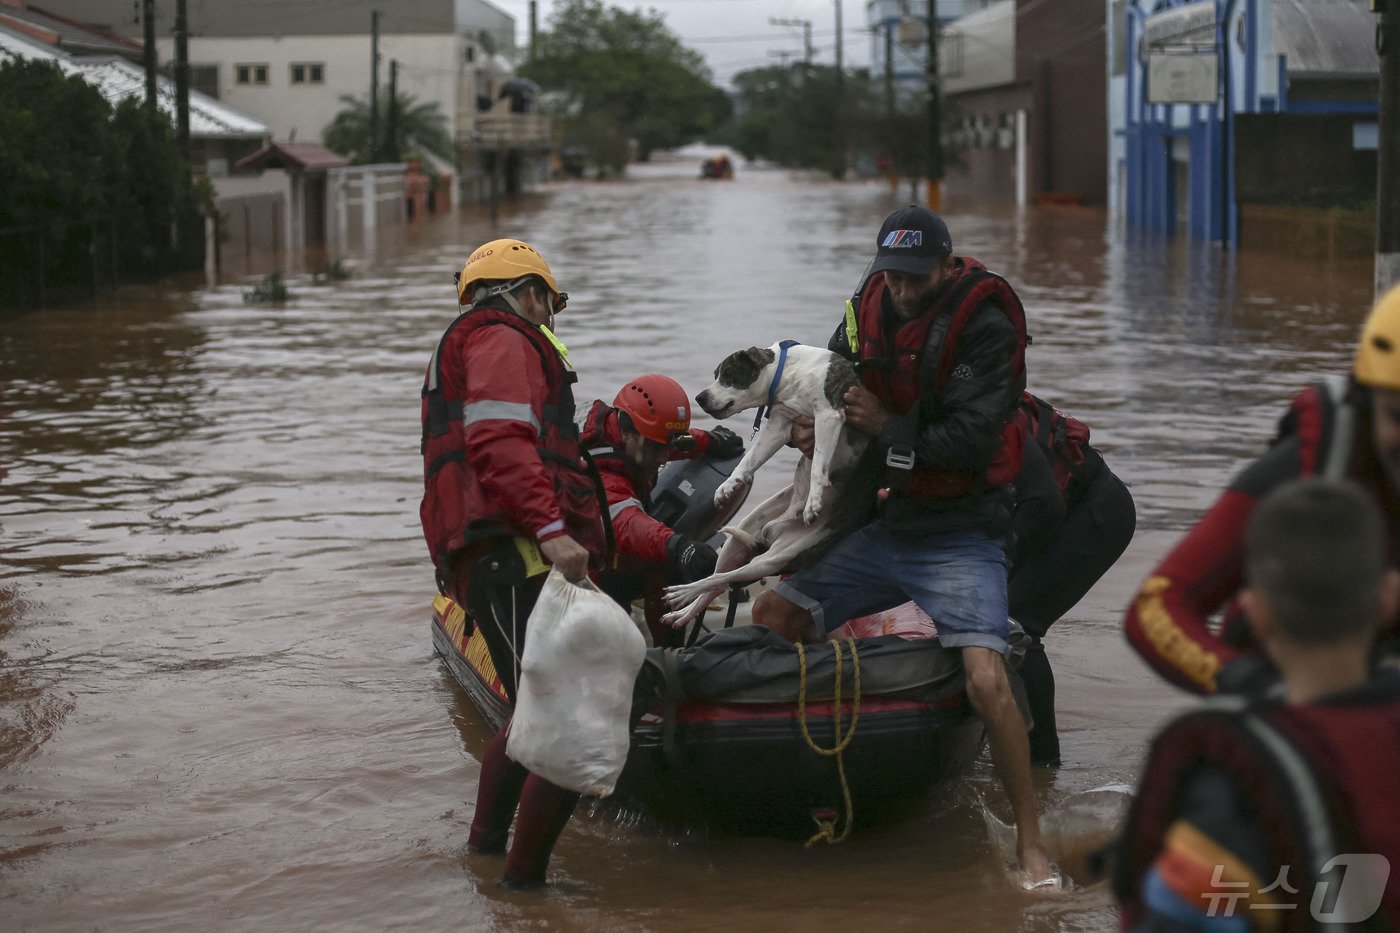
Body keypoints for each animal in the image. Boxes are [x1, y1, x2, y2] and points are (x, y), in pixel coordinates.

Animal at [658, 341, 873, 624]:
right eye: (716, 374)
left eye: (729, 374)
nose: (700, 397)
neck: (788, 375)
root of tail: (776, 528)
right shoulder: (780, 425)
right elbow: (749, 458)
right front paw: (728, 485)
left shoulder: (828, 415)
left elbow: (818, 464)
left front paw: (813, 502)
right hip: (740, 539)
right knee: (717, 581)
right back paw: (682, 611)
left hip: (774, 558)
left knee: (722, 579)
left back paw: (681, 593)